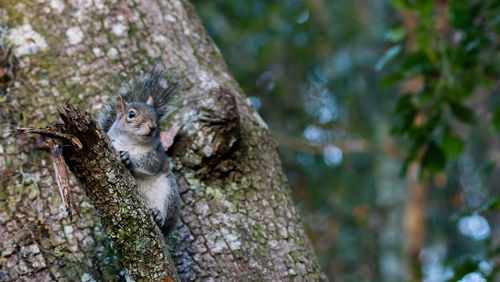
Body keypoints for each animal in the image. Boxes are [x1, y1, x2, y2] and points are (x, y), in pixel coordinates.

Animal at [97, 64, 182, 236]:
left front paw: (128, 158)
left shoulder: (157, 154)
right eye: (131, 114)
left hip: (169, 194)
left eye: (156, 115)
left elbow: (150, 164)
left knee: (165, 222)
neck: (132, 143)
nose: (152, 126)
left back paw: (158, 216)